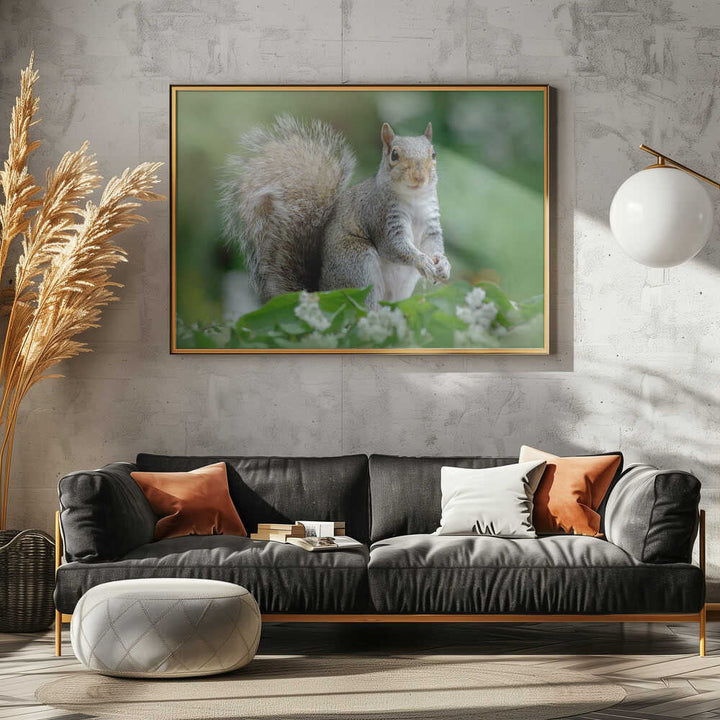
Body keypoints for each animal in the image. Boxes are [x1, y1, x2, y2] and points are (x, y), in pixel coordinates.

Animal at [220, 115, 450, 309]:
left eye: (434, 154)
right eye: (394, 154)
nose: (419, 177)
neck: (414, 200)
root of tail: (323, 293)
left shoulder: (431, 223)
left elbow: (433, 244)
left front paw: (443, 264)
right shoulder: (380, 216)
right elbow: (394, 247)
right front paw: (422, 261)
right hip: (357, 265)